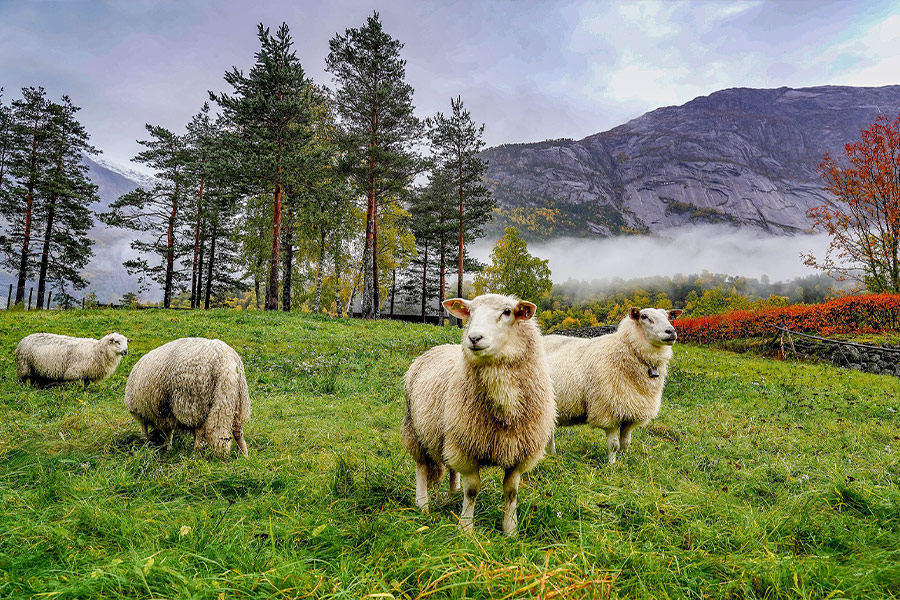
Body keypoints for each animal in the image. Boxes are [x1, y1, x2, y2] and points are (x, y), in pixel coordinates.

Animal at [401, 293, 556, 536]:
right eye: (470, 312)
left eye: (507, 312)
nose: (474, 338)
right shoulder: (467, 449)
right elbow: (472, 490)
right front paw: (466, 528)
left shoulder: (518, 453)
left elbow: (511, 492)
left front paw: (510, 530)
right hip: (415, 430)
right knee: (421, 467)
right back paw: (422, 505)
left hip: (449, 433)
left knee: (449, 467)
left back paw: (452, 493)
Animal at [543, 307, 682, 463]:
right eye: (644, 316)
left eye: (668, 316)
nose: (671, 331)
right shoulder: (608, 411)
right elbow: (614, 445)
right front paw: (612, 464)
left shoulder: (631, 412)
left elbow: (626, 442)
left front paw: (625, 461)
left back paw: (553, 453)